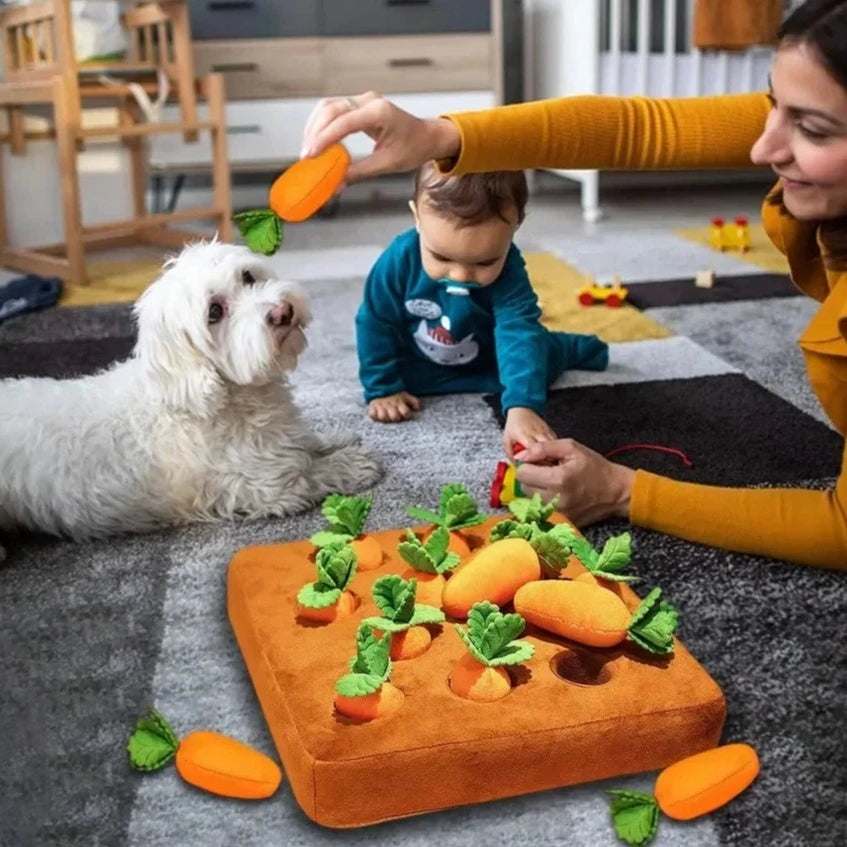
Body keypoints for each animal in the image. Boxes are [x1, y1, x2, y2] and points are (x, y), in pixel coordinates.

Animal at [0, 240, 380, 556]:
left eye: (248, 276)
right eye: (214, 312)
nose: (282, 311)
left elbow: (306, 441)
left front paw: (331, 438)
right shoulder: (267, 488)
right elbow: (313, 473)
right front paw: (351, 464)